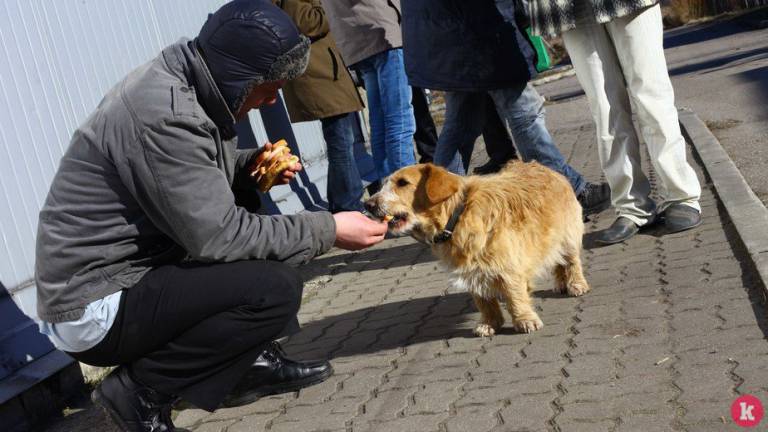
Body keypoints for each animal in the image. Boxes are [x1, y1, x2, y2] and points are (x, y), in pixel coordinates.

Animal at [366, 162, 588, 334]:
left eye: (403, 183)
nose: (367, 205)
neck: (457, 216)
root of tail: (545, 167)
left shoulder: (507, 266)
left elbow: (514, 293)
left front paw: (524, 319)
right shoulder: (472, 269)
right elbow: (483, 299)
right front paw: (490, 323)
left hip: (568, 235)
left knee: (571, 261)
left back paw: (576, 284)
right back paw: (560, 283)